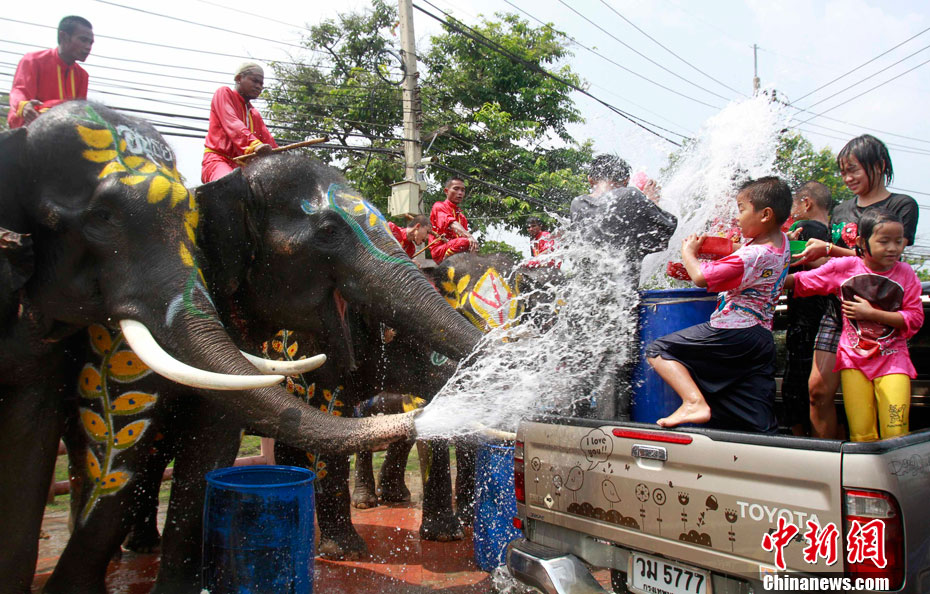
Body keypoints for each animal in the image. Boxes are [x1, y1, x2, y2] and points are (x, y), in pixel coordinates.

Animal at [46, 151, 482, 588]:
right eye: (328, 231)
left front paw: (446, 535)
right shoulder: (304, 352)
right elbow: (324, 418)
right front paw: (346, 552)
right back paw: (136, 546)